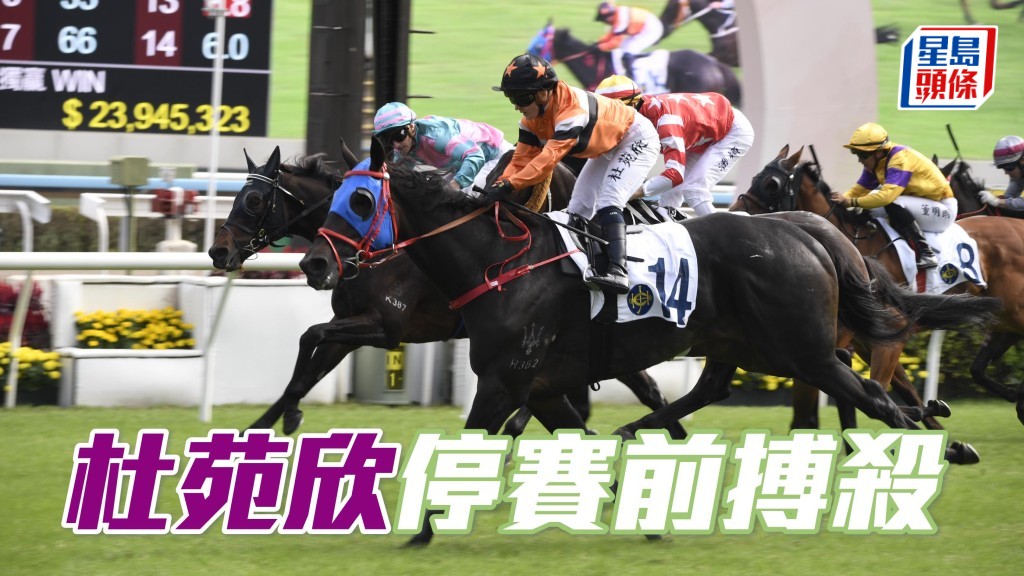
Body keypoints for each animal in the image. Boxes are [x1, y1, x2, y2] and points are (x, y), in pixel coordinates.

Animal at [208, 145, 679, 438]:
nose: (218, 250)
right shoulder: (349, 326)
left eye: (253, 201)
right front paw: (262, 428)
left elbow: (311, 337)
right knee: (646, 389)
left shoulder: (386, 327)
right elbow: (307, 367)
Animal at [733, 144, 1024, 429]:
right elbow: (899, 393)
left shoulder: (882, 335)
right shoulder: (862, 342)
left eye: (771, 184)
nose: (734, 212)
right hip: (1004, 316)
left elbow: (875, 394)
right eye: (755, 178)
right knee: (980, 366)